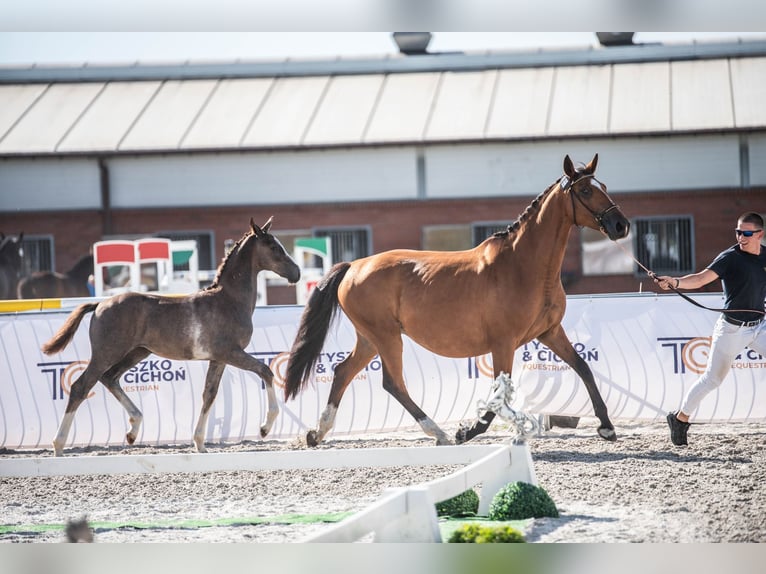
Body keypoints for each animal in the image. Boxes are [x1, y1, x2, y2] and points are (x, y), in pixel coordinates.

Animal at [41, 218, 300, 456]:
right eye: (273, 246)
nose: (296, 273)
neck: (228, 300)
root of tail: (99, 305)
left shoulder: (218, 359)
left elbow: (209, 394)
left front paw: (199, 443)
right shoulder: (232, 352)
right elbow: (265, 371)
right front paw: (265, 428)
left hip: (137, 352)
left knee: (110, 378)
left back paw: (133, 429)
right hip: (106, 353)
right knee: (81, 387)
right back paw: (58, 445)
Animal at [284, 154, 630, 447]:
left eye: (604, 187)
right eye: (584, 190)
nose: (621, 225)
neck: (524, 266)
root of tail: (354, 266)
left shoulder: (549, 332)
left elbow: (583, 368)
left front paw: (606, 427)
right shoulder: (503, 342)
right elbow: (499, 394)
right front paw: (468, 431)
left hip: (370, 338)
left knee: (343, 371)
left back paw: (317, 433)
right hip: (386, 336)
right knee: (393, 383)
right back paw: (438, 432)